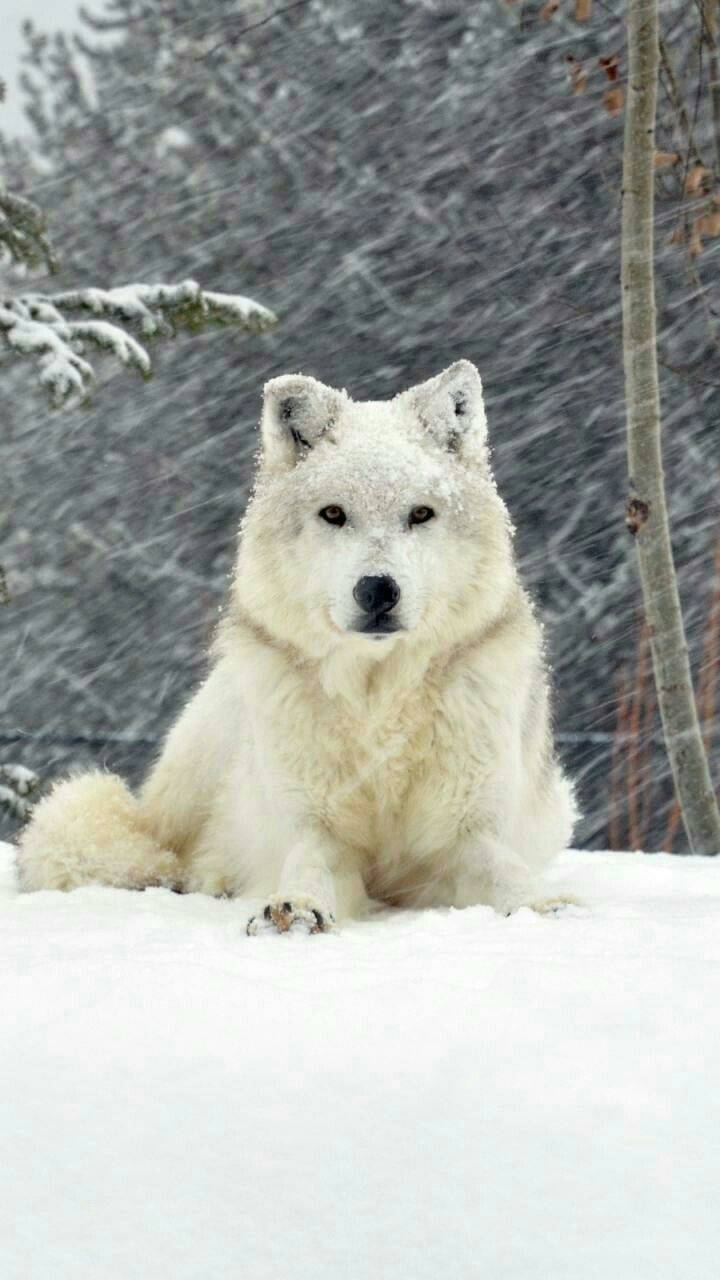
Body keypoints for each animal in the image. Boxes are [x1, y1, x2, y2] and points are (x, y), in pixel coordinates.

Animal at [16, 358, 573, 931]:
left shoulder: (467, 830)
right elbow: (308, 863)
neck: (378, 701)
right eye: (334, 514)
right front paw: (297, 907)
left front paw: (540, 905)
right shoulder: (313, 825)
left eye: (420, 514)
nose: (378, 590)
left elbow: (505, 868)